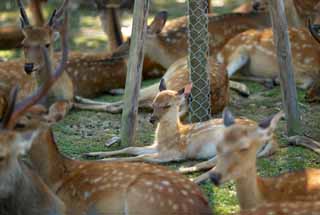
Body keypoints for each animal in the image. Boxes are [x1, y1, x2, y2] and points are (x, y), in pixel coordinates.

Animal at [84, 80, 278, 170]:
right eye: (152, 103)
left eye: (167, 105)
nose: (152, 119)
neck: (171, 137)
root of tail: (271, 139)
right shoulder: (157, 146)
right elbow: (130, 149)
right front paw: (93, 154)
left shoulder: (172, 153)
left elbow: (141, 157)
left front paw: (105, 161)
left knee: (211, 163)